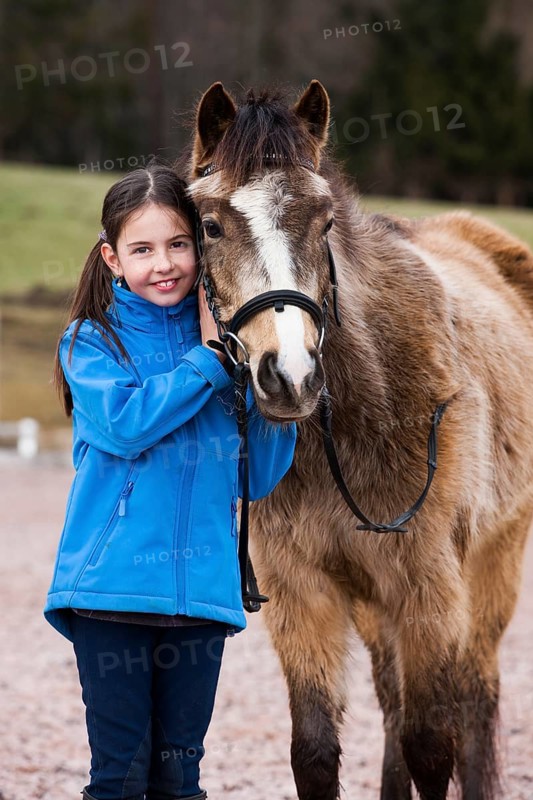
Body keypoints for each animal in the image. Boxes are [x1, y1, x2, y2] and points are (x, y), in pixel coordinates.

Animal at [186, 80, 533, 800]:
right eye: (210, 225)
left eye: (323, 222)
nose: (289, 375)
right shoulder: (301, 591)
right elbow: (317, 752)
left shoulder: (429, 586)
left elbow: (432, 745)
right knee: (392, 700)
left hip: (492, 568)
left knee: (475, 699)